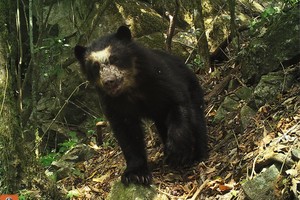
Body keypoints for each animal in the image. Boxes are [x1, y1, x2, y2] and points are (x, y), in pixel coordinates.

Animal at [74, 25, 207, 185]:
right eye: (95, 67)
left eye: (115, 58)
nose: (109, 81)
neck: (130, 88)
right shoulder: (113, 103)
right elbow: (128, 133)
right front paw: (135, 174)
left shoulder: (159, 78)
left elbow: (177, 101)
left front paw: (178, 152)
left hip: (192, 86)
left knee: (196, 118)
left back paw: (198, 154)